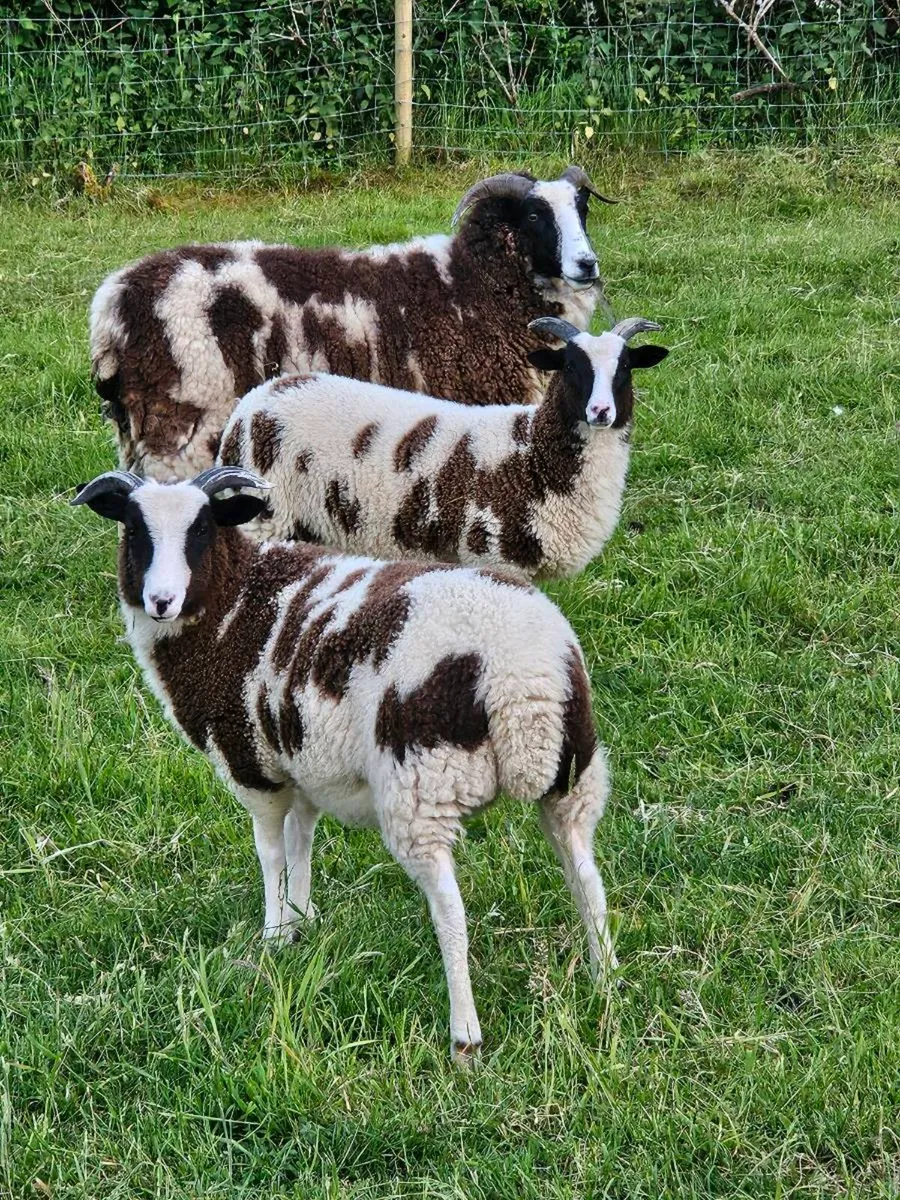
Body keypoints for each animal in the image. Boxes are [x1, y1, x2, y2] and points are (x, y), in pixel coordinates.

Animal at [71, 465, 619, 1064]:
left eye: (201, 530)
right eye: (135, 531)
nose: (161, 600)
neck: (232, 601)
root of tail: (523, 675)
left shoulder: (252, 762)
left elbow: (269, 851)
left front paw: (273, 933)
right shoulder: (305, 763)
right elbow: (301, 841)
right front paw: (302, 920)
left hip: (420, 787)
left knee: (451, 912)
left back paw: (465, 1037)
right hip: (574, 775)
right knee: (586, 877)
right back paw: (606, 983)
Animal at [89, 165, 618, 481]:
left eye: (583, 208)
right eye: (533, 216)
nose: (587, 265)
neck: (473, 283)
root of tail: (114, 302)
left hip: (136, 433)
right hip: (182, 426)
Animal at [217, 317, 668, 580]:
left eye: (625, 369)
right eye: (571, 366)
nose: (601, 411)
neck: (530, 455)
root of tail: (258, 396)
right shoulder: (492, 558)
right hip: (263, 519)